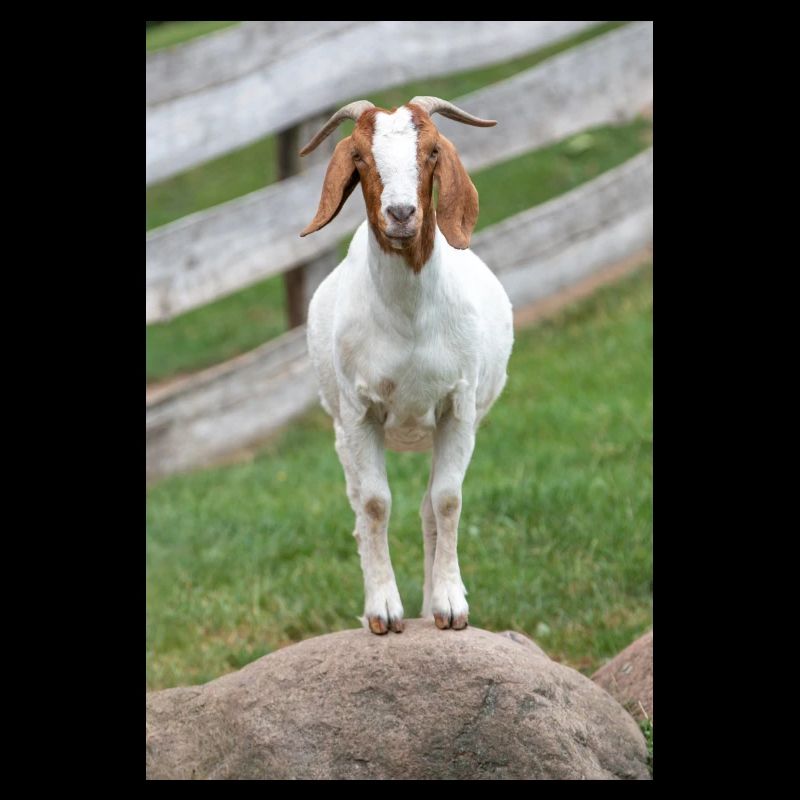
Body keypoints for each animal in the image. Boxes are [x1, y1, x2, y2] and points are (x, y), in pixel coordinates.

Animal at [301, 97, 513, 634]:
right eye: (358, 155)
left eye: (432, 150)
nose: (400, 213)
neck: (411, 318)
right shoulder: (360, 413)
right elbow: (376, 505)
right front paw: (383, 611)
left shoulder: (458, 408)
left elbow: (447, 501)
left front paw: (450, 606)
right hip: (341, 432)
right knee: (360, 509)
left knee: (428, 507)